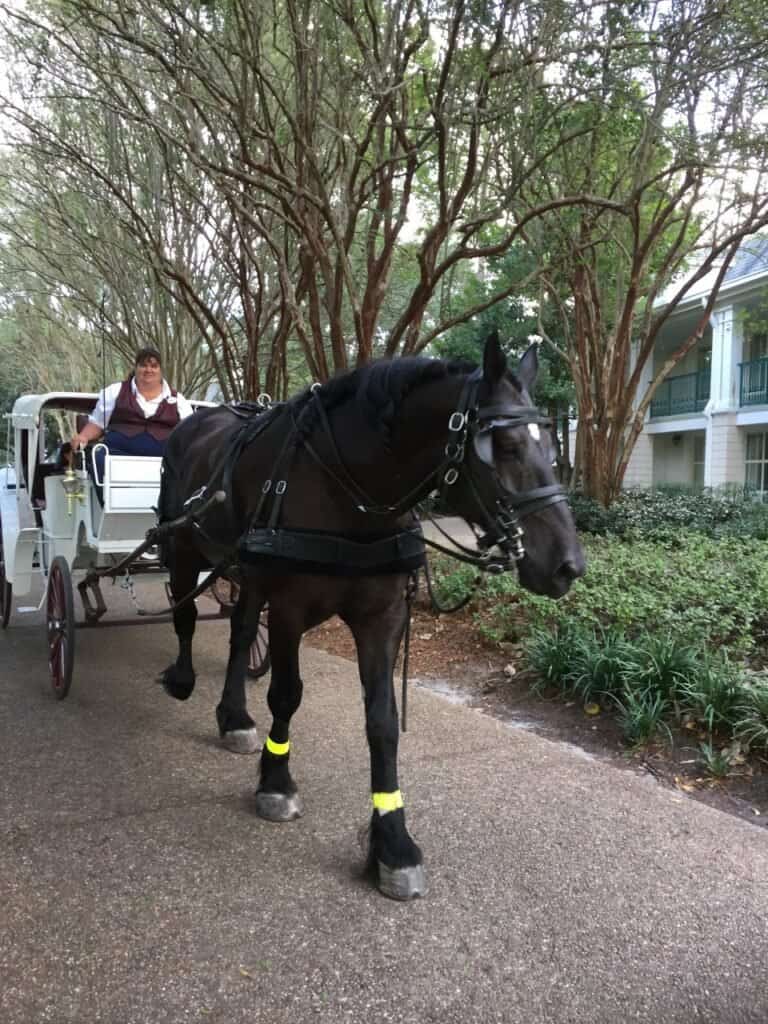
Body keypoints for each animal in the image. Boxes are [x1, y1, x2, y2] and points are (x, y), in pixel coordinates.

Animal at [157, 333, 585, 899]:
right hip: (184, 547)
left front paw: (392, 841)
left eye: (553, 449)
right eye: (508, 447)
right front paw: (276, 781)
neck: (348, 492)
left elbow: (382, 722)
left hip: (246, 571)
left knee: (241, 631)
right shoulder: (289, 607)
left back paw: (234, 717)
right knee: (184, 615)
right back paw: (183, 678)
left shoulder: (382, 617)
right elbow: (286, 695)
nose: (568, 565)